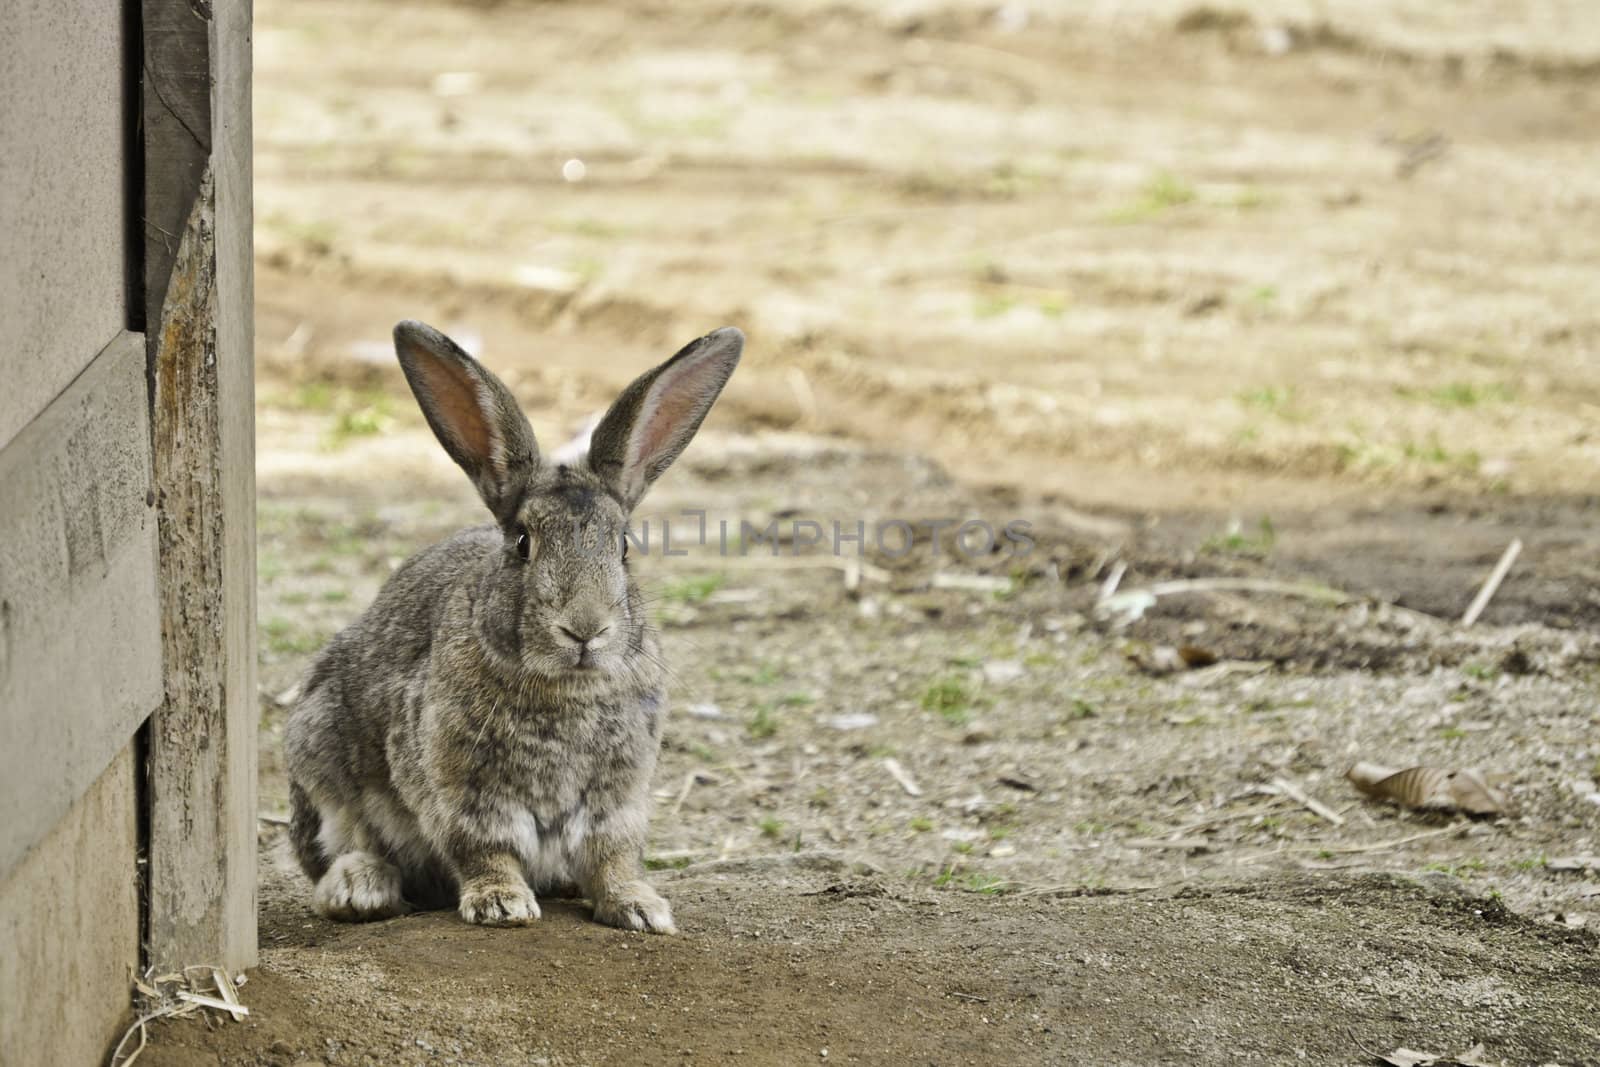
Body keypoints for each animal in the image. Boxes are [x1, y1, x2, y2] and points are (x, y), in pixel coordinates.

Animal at [283, 319, 742, 934]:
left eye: (623, 547)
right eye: (523, 543)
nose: (585, 629)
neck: (566, 687)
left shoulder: (617, 800)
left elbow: (613, 857)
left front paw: (640, 909)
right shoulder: (465, 793)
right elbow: (484, 847)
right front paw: (502, 904)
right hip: (317, 750)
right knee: (345, 845)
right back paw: (361, 889)